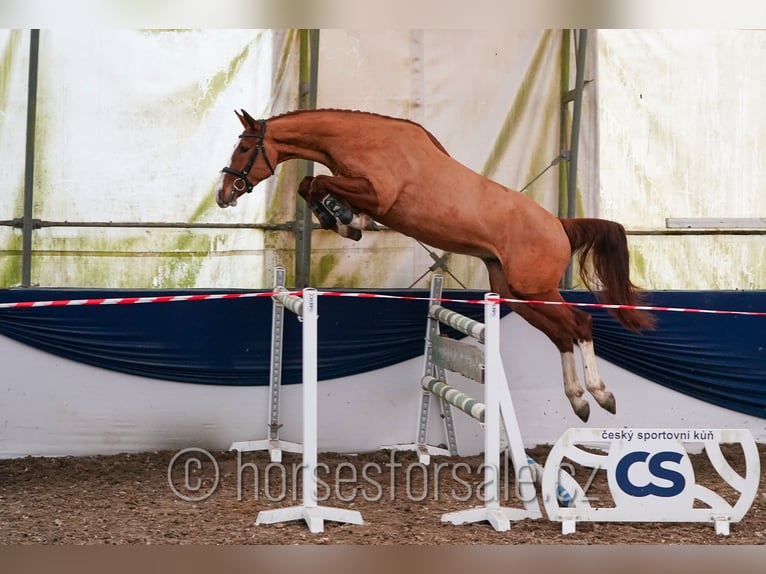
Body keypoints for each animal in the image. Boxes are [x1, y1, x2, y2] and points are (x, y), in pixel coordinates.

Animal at [216, 108, 656, 422]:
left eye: (243, 149)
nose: (223, 194)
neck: (361, 139)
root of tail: (560, 225)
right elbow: (311, 185)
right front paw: (342, 220)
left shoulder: (379, 194)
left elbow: (319, 183)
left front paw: (345, 220)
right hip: (517, 294)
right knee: (563, 335)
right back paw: (578, 401)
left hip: (536, 288)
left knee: (580, 324)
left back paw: (601, 395)